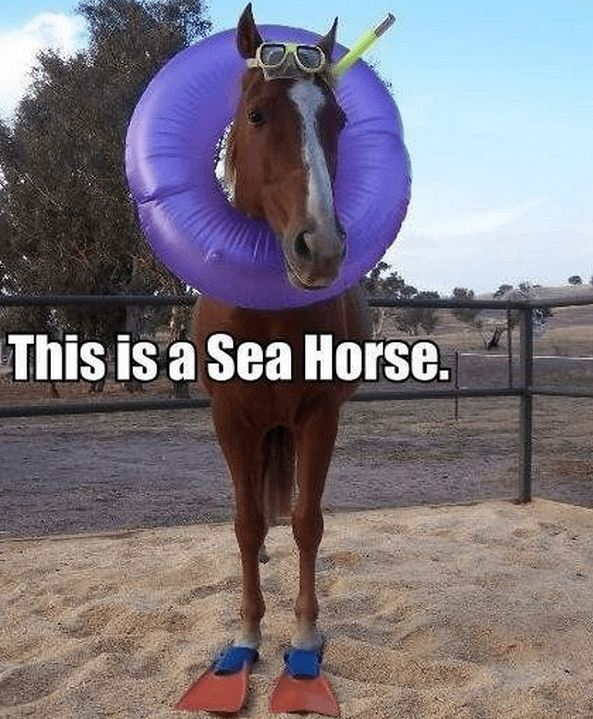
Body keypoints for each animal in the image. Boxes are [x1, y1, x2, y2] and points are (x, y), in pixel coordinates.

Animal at [192, 3, 370, 659]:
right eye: (256, 114)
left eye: (337, 120)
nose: (320, 248)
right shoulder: (230, 418)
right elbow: (245, 522)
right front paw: (246, 631)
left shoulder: (319, 415)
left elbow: (307, 521)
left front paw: (305, 630)